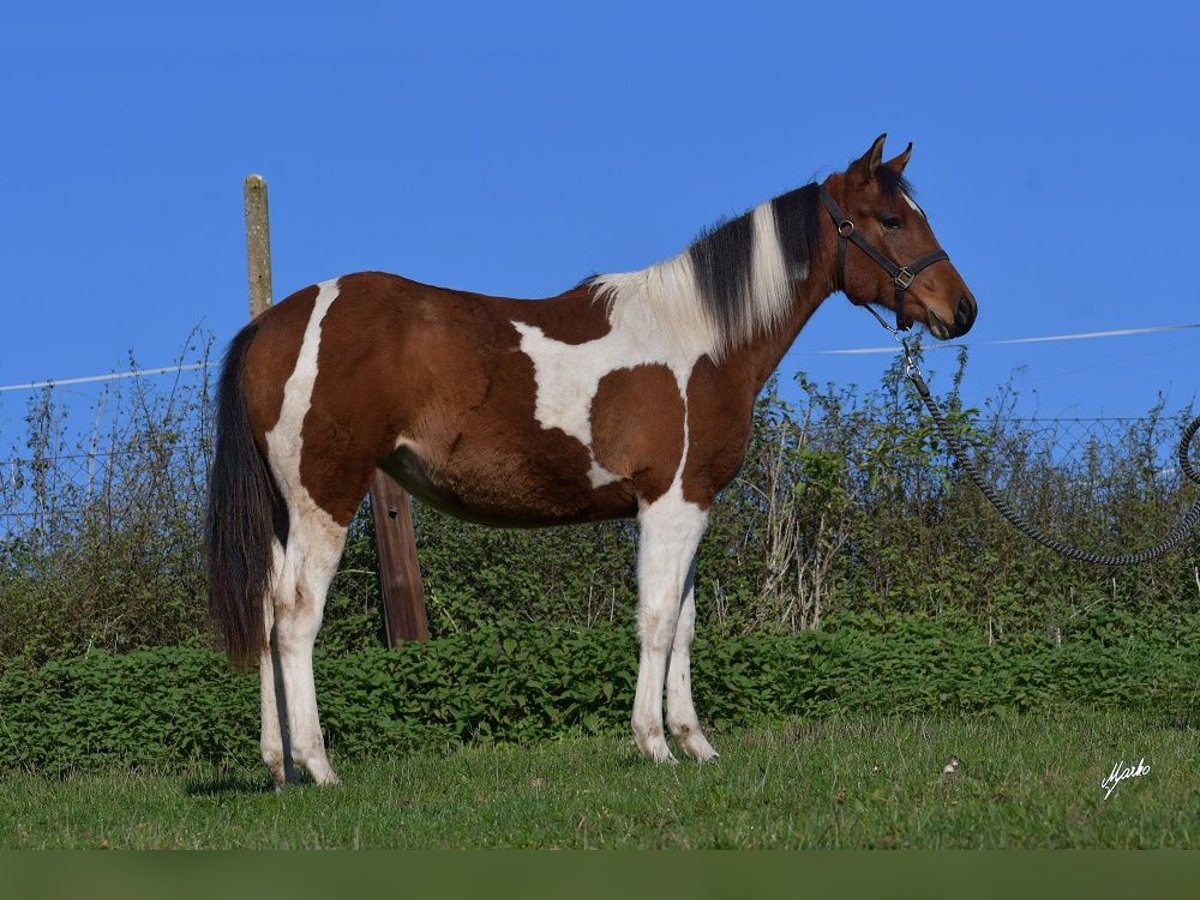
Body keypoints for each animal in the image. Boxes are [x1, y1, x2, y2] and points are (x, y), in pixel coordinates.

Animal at [206, 135, 974, 787]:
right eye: (889, 219)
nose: (962, 310)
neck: (702, 338)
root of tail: (275, 323)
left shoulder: (692, 505)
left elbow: (684, 624)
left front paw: (696, 744)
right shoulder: (670, 503)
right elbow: (656, 619)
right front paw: (654, 745)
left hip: (284, 513)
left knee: (269, 613)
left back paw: (278, 765)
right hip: (325, 499)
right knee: (297, 618)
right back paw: (319, 766)